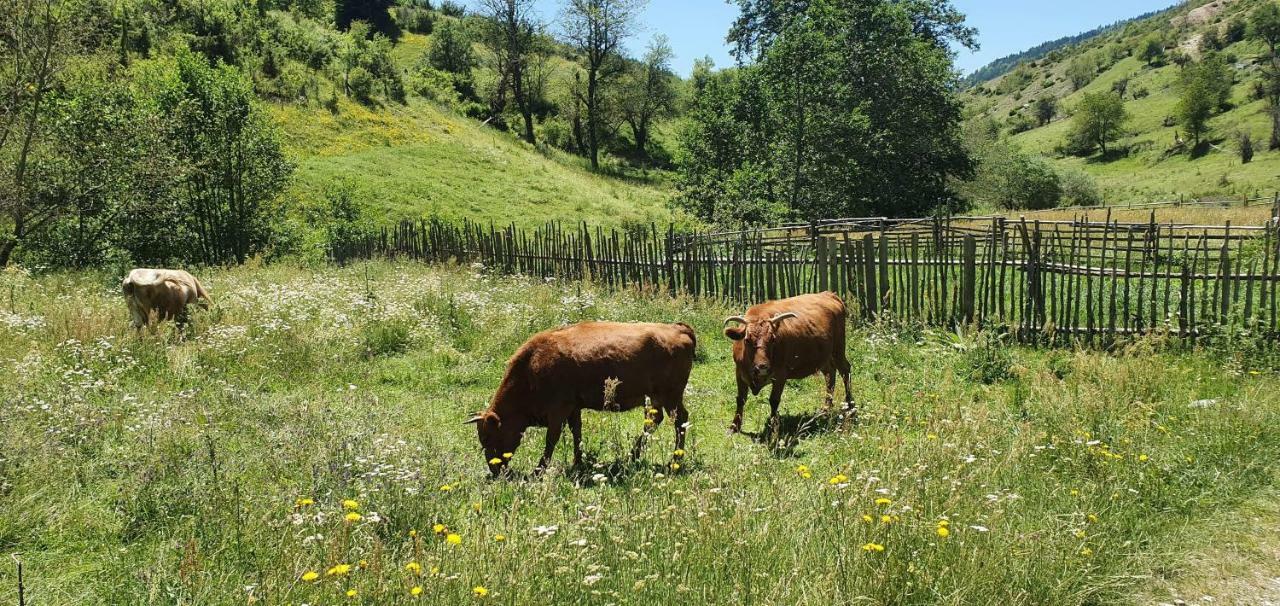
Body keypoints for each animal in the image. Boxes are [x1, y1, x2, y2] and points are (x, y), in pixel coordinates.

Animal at [465, 321, 696, 476]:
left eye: (487, 437)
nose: (494, 469)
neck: (532, 367)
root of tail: (678, 328)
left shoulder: (558, 410)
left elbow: (552, 439)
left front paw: (539, 469)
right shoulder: (573, 408)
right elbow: (577, 432)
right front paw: (578, 461)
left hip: (670, 396)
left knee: (680, 421)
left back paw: (675, 460)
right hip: (657, 398)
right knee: (655, 421)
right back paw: (633, 455)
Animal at [727, 290, 855, 433]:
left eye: (772, 339)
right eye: (747, 340)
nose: (762, 366)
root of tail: (828, 294)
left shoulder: (780, 375)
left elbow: (774, 400)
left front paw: (773, 427)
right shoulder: (739, 373)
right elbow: (740, 399)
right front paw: (734, 426)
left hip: (838, 350)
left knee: (845, 371)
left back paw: (850, 405)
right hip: (824, 357)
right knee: (830, 374)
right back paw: (826, 408)